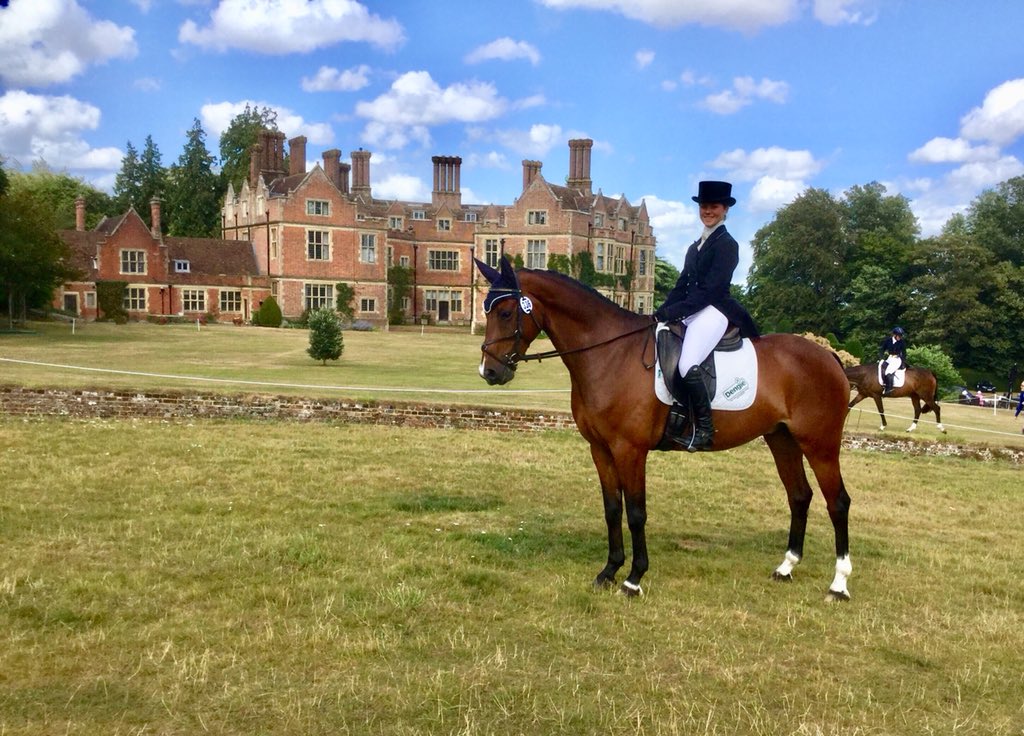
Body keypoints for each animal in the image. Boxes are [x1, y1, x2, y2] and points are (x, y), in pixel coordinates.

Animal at [475, 257, 854, 601]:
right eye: (486, 310)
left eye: (506, 313)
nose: (489, 372)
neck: (610, 353)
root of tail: (829, 358)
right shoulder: (600, 449)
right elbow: (612, 509)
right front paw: (608, 571)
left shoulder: (630, 450)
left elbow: (636, 513)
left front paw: (633, 579)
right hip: (782, 439)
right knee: (799, 495)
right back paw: (786, 568)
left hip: (820, 444)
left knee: (837, 503)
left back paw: (838, 585)